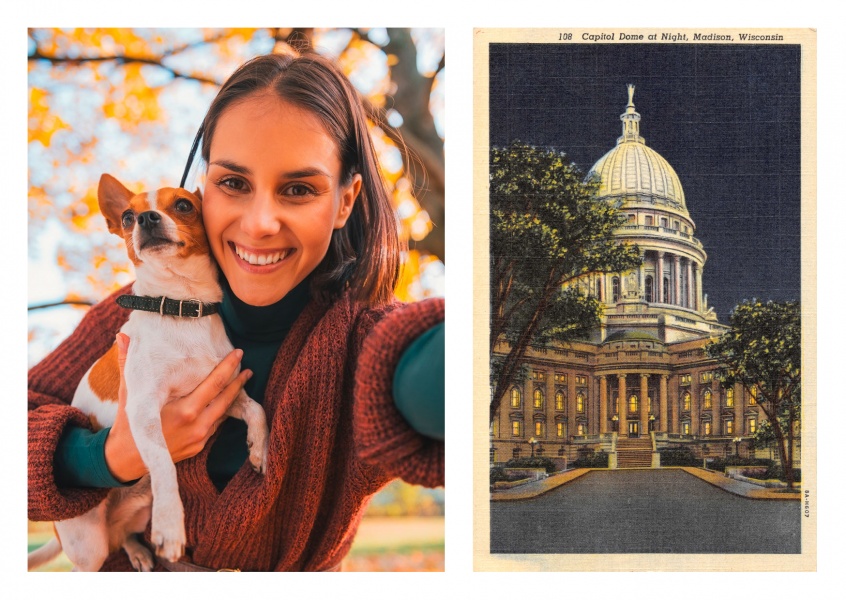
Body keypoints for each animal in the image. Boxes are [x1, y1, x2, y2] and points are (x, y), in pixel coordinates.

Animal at [29, 173, 268, 572]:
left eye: (184, 205)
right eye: (127, 216)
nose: (145, 218)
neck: (181, 306)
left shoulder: (224, 394)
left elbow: (257, 409)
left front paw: (260, 449)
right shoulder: (143, 412)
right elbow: (164, 465)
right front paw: (171, 528)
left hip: (137, 511)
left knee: (124, 534)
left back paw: (139, 551)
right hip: (89, 546)